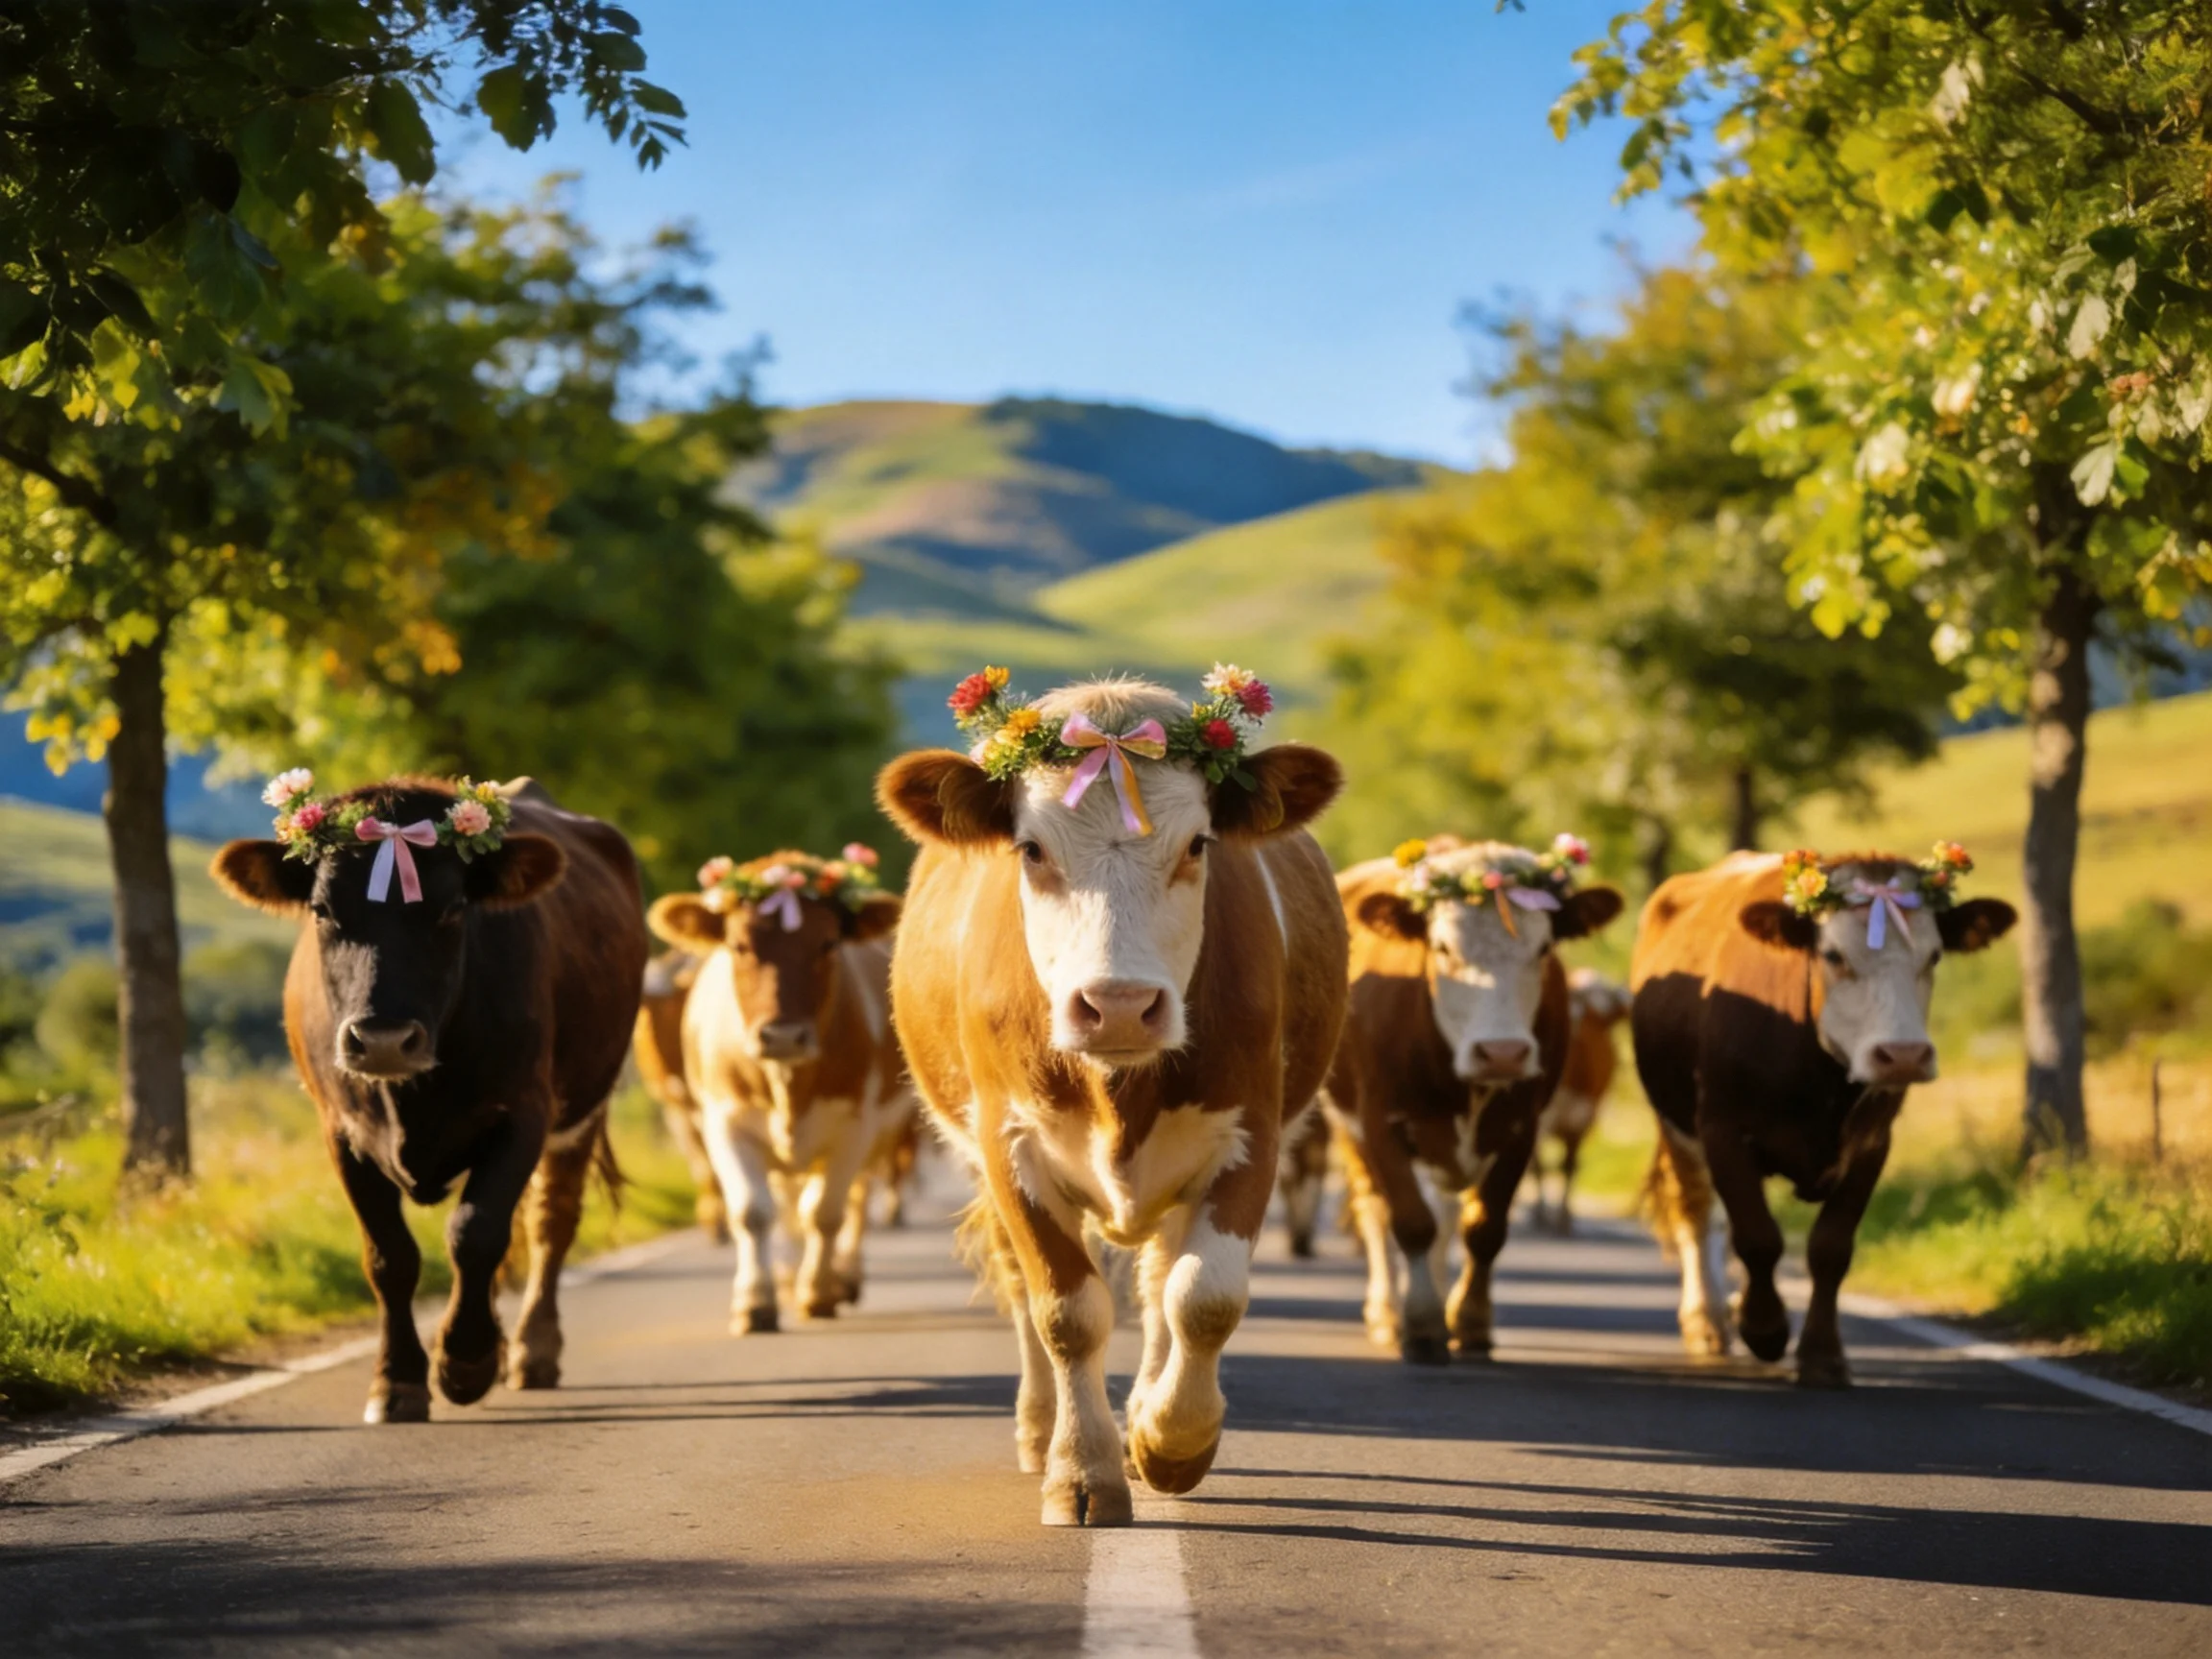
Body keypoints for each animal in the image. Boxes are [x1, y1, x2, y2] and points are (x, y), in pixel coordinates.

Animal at [212, 776, 646, 1423]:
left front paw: (465, 1362)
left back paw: (532, 1351)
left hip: (584, 1109)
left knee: (551, 1223)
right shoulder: (341, 1133)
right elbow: (389, 1256)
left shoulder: (523, 1114)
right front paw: (397, 1380)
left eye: (453, 908)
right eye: (322, 910)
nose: (383, 1039)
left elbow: (475, 1233)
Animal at [644, 852, 913, 1332]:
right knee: (787, 1201)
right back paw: (787, 1274)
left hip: (879, 1132)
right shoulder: (724, 1124)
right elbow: (753, 1212)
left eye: (828, 943)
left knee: (856, 1198)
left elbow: (825, 1213)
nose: (783, 1036)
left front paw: (818, 1292)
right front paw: (756, 1302)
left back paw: (843, 1277)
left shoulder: (853, 1127)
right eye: (738, 946)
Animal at [876, 674, 1347, 1527]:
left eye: (1198, 845)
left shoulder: (1249, 1134)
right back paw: (1039, 1432)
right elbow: (1066, 1311)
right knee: (1024, 1290)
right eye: (1031, 849)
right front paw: (1081, 1471)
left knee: (1161, 1283)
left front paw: (1168, 1442)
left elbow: (1204, 1297)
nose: (1120, 1005)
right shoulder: (1010, 1145)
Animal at [1527, 968, 1631, 1235]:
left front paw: (1564, 1218)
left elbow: (1569, 1166)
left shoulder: (1582, 1118)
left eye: (1598, 1022)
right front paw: (1539, 1214)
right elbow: (1538, 1166)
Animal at [1630, 849, 2016, 1387]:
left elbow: (1830, 1249)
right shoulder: (1722, 1129)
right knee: (1696, 1211)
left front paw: (1822, 1354)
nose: (1903, 1055)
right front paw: (1765, 1329)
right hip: (1674, 1123)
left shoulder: (1872, 1143)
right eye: (1833, 955)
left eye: (1935, 955)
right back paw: (1707, 1321)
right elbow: (1759, 1237)